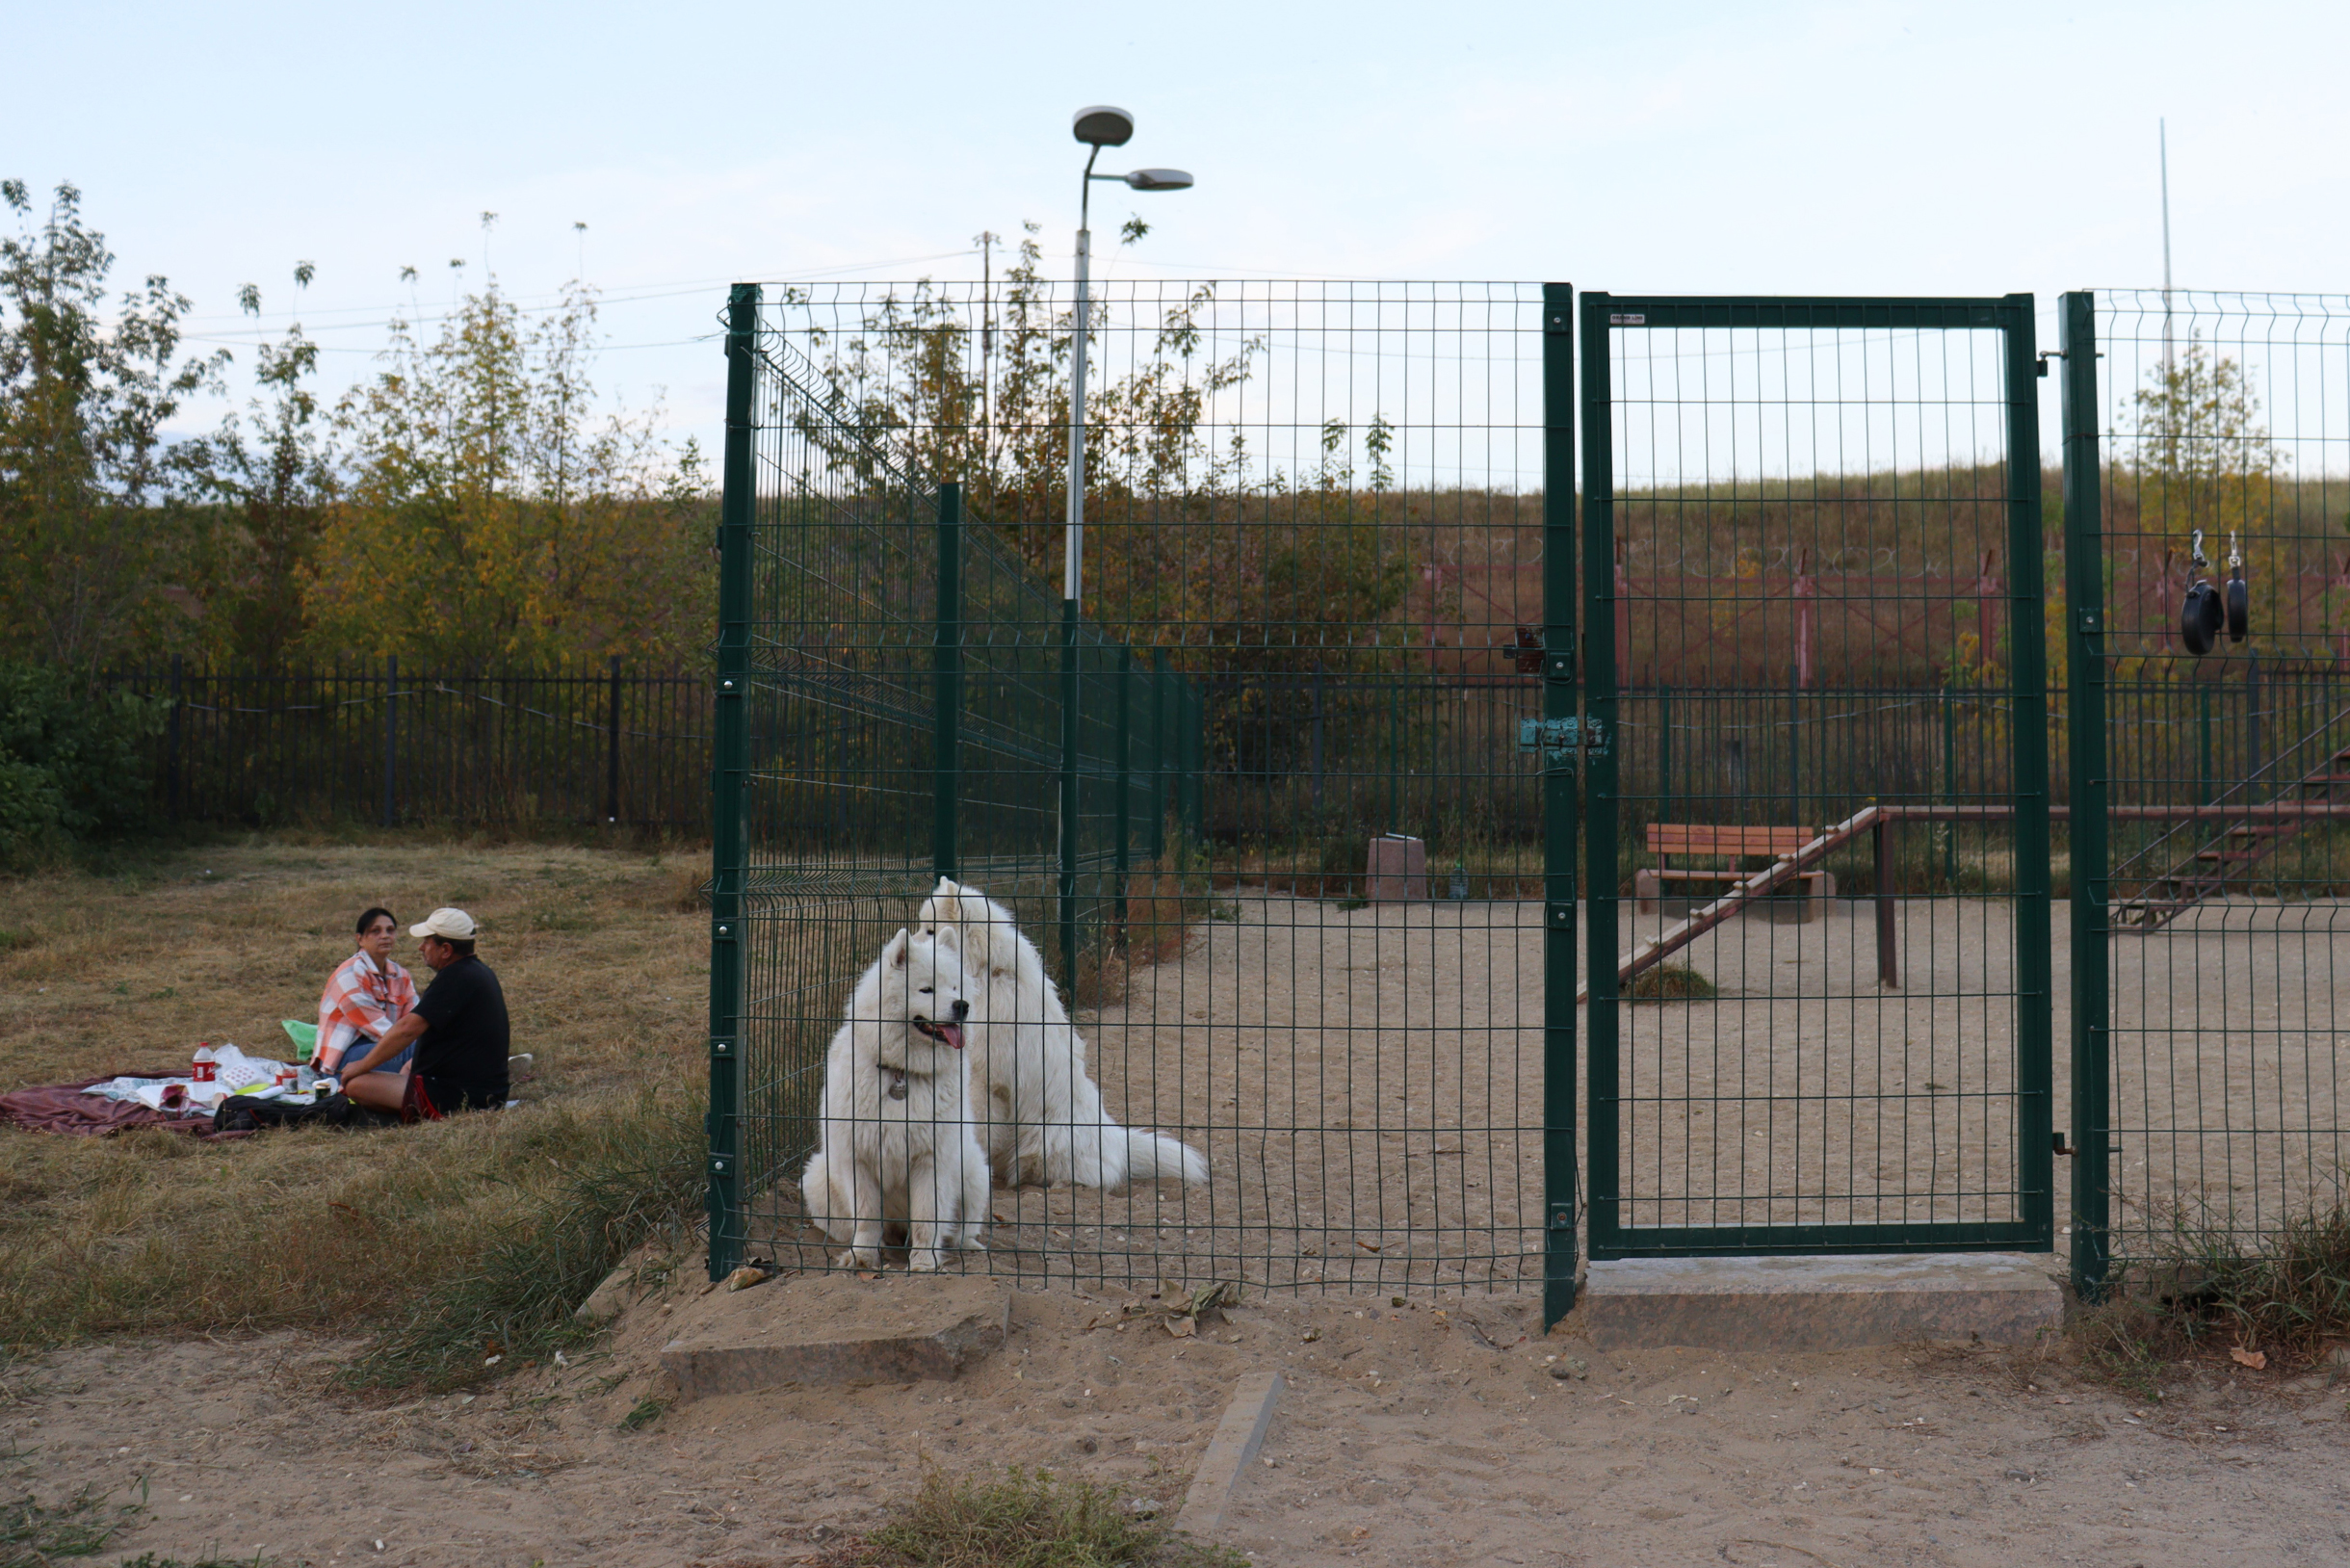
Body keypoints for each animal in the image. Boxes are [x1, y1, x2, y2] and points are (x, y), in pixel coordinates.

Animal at [798, 926, 991, 1269]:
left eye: (955, 987)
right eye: (926, 989)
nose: (963, 1005)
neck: (901, 1072)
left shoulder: (931, 1160)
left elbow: (928, 1217)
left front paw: (925, 1262)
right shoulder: (857, 1159)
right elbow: (867, 1216)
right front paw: (862, 1257)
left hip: (973, 1173)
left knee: (962, 1228)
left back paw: (964, 1246)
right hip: (817, 1178)